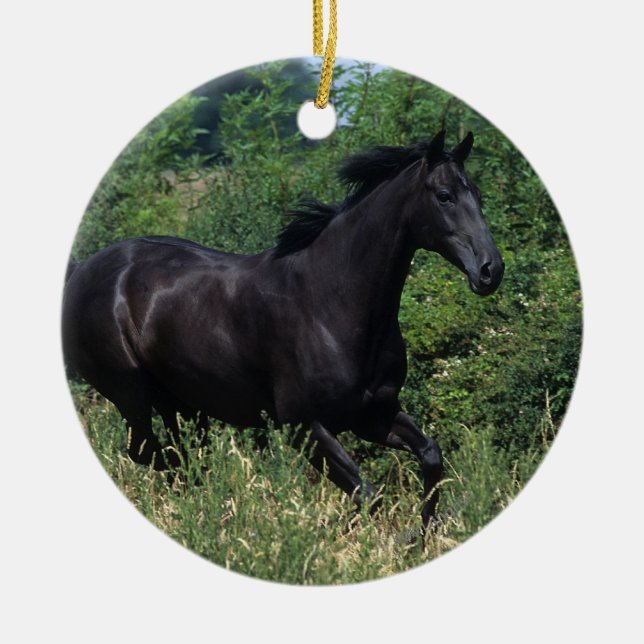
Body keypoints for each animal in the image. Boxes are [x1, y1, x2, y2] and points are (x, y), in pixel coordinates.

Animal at [62, 130, 504, 532]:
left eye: (479, 195)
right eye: (444, 195)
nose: (490, 270)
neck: (328, 302)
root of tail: (82, 271)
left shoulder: (372, 414)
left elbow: (430, 457)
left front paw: (420, 535)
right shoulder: (304, 427)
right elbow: (368, 494)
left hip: (183, 405)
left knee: (184, 458)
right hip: (130, 395)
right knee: (154, 455)